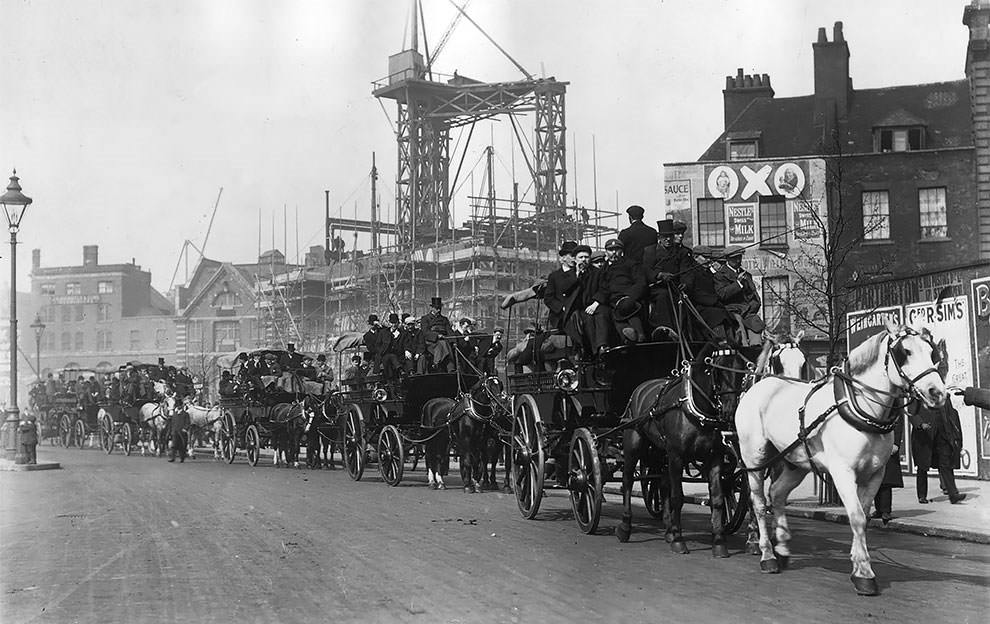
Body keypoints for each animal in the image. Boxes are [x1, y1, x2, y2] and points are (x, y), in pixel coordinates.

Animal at [620, 346, 752, 556]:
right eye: (718, 371)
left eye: (740, 372)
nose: (730, 411)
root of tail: (639, 389)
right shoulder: (677, 455)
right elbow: (677, 497)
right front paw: (679, 540)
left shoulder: (714, 457)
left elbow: (717, 497)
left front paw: (718, 542)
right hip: (634, 445)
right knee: (627, 480)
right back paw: (626, 526)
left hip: (661, 452)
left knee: (662, 483)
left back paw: (668, 529)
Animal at [736, 322, 944, 596]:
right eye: (904, 352)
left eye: (932, 353)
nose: (937, 393)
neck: (862, 408)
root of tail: (759, 386)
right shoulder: (842, 471)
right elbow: (856, 516)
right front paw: (864, 572)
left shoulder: (875, 474)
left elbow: (863, 517)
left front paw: (858, 564)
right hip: (754, 457)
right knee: (759, 503)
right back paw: (766, 554)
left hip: (795, 461)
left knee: (778, 494)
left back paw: (781, 548)